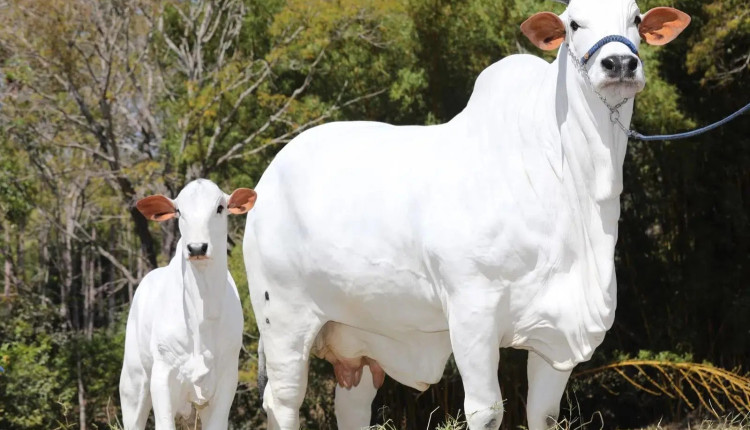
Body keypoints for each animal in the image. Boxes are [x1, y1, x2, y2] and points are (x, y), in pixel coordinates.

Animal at [119, 180, 258, 428]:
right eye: (179, 211)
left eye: (220, 207)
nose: (196, 248)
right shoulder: (163, 377)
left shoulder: (226, 382)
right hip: (133, 385)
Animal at [244, 1, 692, 428]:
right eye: (573, 23)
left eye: (636, 19)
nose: (619, 63)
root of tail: (267, 179)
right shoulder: (472, 311)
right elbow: (486, 411)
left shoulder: (556, 333)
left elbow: (543, 413)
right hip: (283, 320)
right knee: (283, 403)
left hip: (360, 340)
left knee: (351, 408)